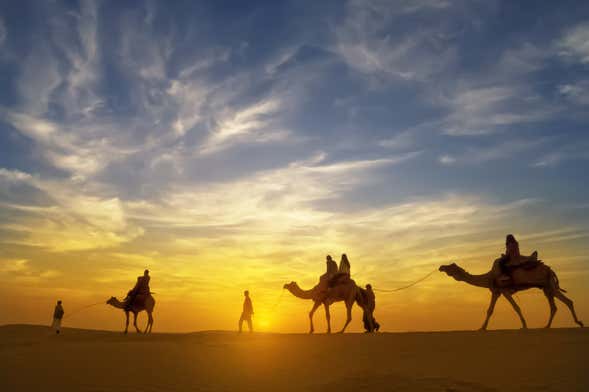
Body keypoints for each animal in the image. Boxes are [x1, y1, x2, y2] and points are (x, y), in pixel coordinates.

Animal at [438, 260, 580, 330]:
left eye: (451, 266)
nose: (441, 267)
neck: (489, 277)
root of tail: (551, 270)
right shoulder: (496, 291)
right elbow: (489, 310)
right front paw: (482, 328)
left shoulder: (504, 290)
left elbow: (516, 307)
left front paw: (524, 326)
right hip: (546, 287)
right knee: (558, 305)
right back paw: (548, 326)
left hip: (549, 285)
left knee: (565, 302)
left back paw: (577, 323)